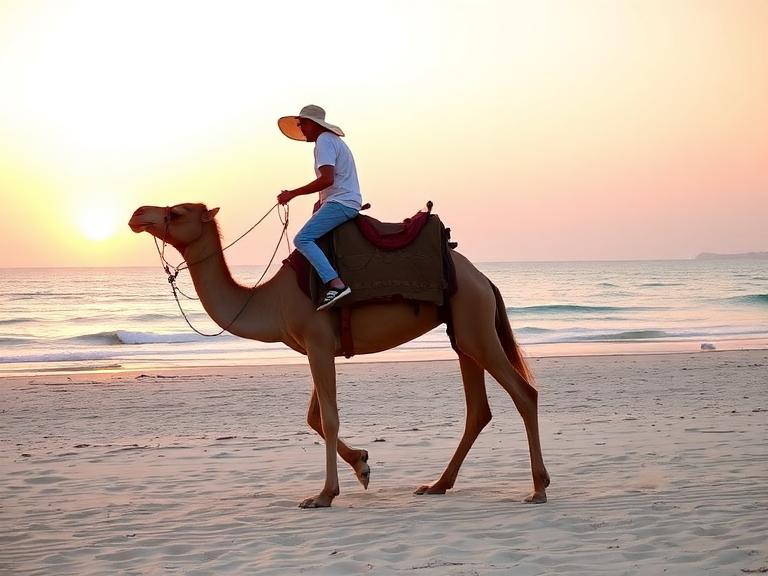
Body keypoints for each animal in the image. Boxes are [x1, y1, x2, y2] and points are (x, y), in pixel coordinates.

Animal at [129, 202, 550, 508]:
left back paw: (538, 488)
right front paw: (362, 465)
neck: (271, 299)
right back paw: (436, 485)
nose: (137, 214)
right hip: (463, 332)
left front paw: (323, 495)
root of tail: (484, 279)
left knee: (524, 393)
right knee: (478, 410)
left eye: (175, 213)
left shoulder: (317, 342)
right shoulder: (316, 348)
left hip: (475, 323)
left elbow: (328, 419)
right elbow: (314, 417)